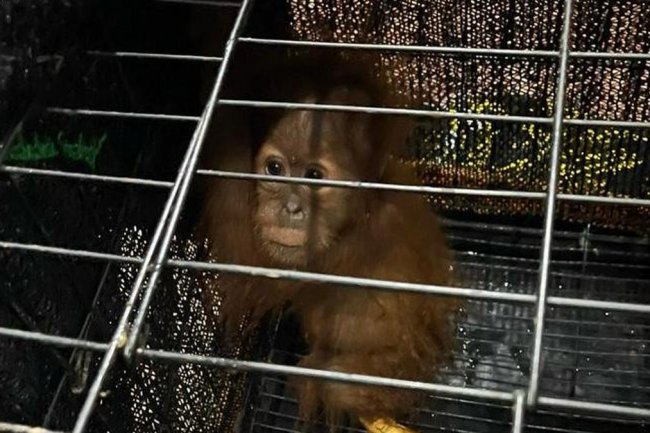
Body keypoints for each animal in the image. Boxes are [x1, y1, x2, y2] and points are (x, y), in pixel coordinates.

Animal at [198, 51, 460, 430]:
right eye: (275, 169)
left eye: (314, 175)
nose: (291, 209)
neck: (363, 209)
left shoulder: (335, 253)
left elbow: (249, 256)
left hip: (393, 374)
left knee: (337, 382)